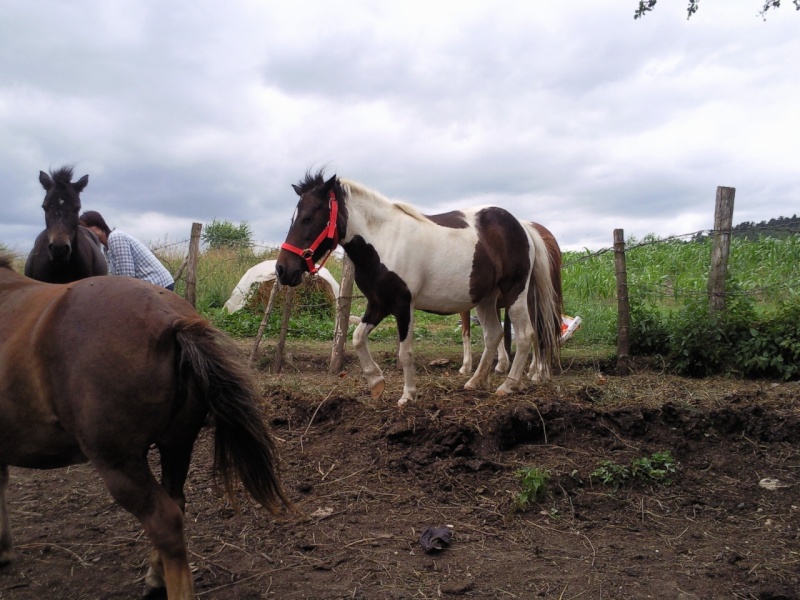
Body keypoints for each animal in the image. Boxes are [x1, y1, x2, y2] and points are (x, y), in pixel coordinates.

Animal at [0, 255, 292, 596]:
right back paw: (156, 574)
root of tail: (173, 320)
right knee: (176, 504)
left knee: (164, 520)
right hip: (177, 446)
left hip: (120, 463)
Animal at [456, 221, 564, 380]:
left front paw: (466, 366)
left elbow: (466, 332)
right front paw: (502, 364)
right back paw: (537, 371)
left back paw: (539, 372)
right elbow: (500, 333)